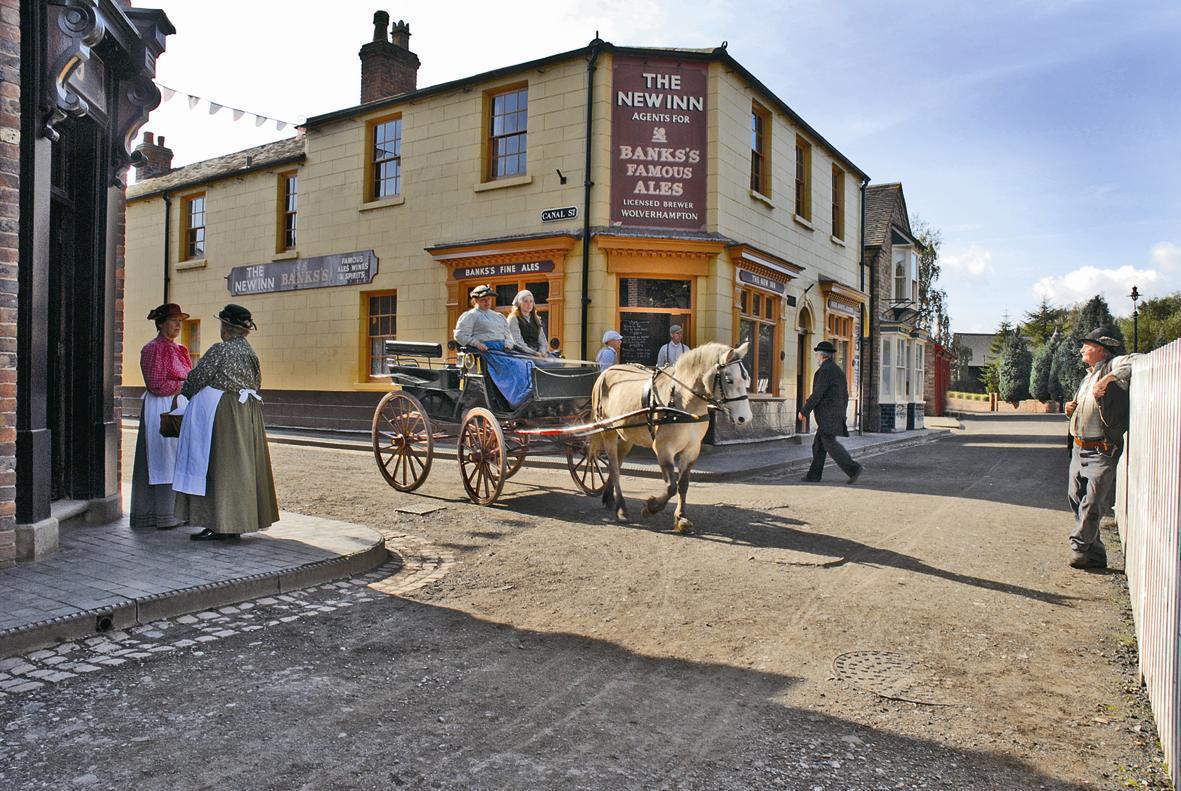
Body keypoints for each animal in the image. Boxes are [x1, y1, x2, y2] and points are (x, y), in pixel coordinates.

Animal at [588, 344, 751, 535]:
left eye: (746, 378)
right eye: (729, 379)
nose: (745, 418)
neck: (683, 401)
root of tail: (606, 372)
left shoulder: (691, 450)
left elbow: (683, 484)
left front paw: (681, 518)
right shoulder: (664, 448)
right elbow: (671, 486)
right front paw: (651, 507)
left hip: (626, 435)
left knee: (618, 464)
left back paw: (610, 498)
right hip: (608, 431)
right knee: (614, 467)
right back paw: (621, 509)